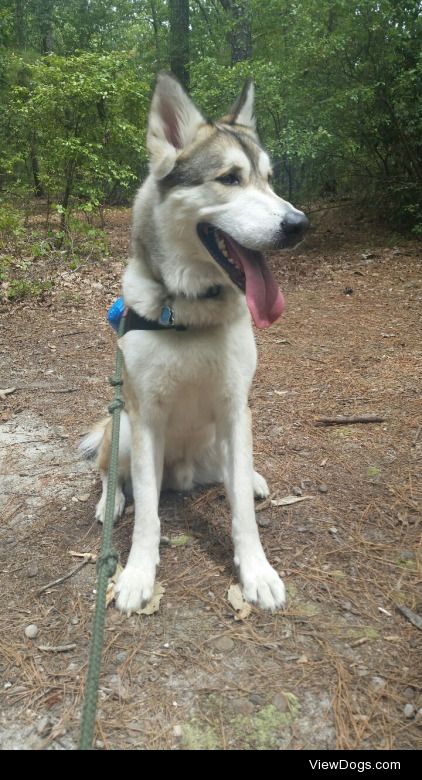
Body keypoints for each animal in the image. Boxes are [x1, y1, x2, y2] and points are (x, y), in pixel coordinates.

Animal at [81, 73, 308, 612]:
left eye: (269, 179)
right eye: (229, 178)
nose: (298, 225)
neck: (187, 313)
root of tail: (182, 473)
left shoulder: (235, 408)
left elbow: (242, 509)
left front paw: (256, 571)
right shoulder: (145, 419)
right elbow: (147, 513)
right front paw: (138, 574)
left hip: (222, 437)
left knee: (230, 474)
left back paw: (251, 477)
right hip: (122, 428)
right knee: (110, 473)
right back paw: (108, 502)